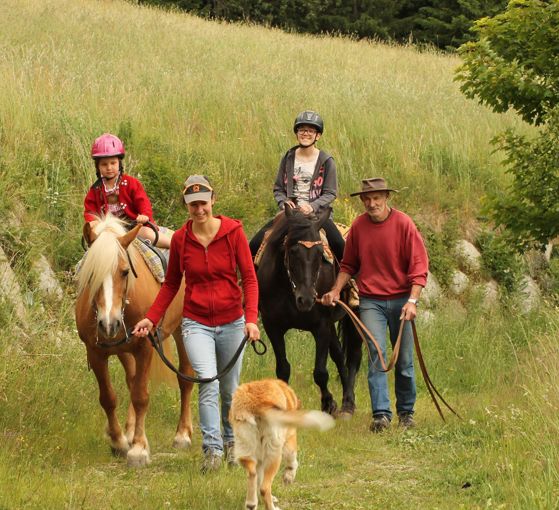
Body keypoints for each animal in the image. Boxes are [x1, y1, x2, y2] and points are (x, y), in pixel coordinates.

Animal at [75, 215, 195, 466]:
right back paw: (129, 432)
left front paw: (138, 449)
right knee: (131, 379)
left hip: (182, 329)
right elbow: (108, 397)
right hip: (124, 350)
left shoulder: (145, 347)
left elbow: (140, 395)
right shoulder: (95, 352)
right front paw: (119, 441)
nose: (108, 324)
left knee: (185, 379)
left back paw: (182, 436)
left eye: (124, 272)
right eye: (90, 274)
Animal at [230, 378, 334, 510]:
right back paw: (272, 507)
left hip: (246, 448)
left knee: (253, 474)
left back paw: (251, 504)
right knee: (265, 487)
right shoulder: (290, 439)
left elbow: (259, 477)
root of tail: (255, 403)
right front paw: (289, 477)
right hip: (274, 454)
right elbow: (293, 461)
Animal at [255, 206, 364, 414]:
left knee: (353, 357)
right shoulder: (273, 326)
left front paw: (328, 404)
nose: (306, 299)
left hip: (356, 317)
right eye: (292, 251)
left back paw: (348, 402)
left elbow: (320, 372)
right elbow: (283, 369)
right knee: (339, 355)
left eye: (320, 253)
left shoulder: (320, 326)